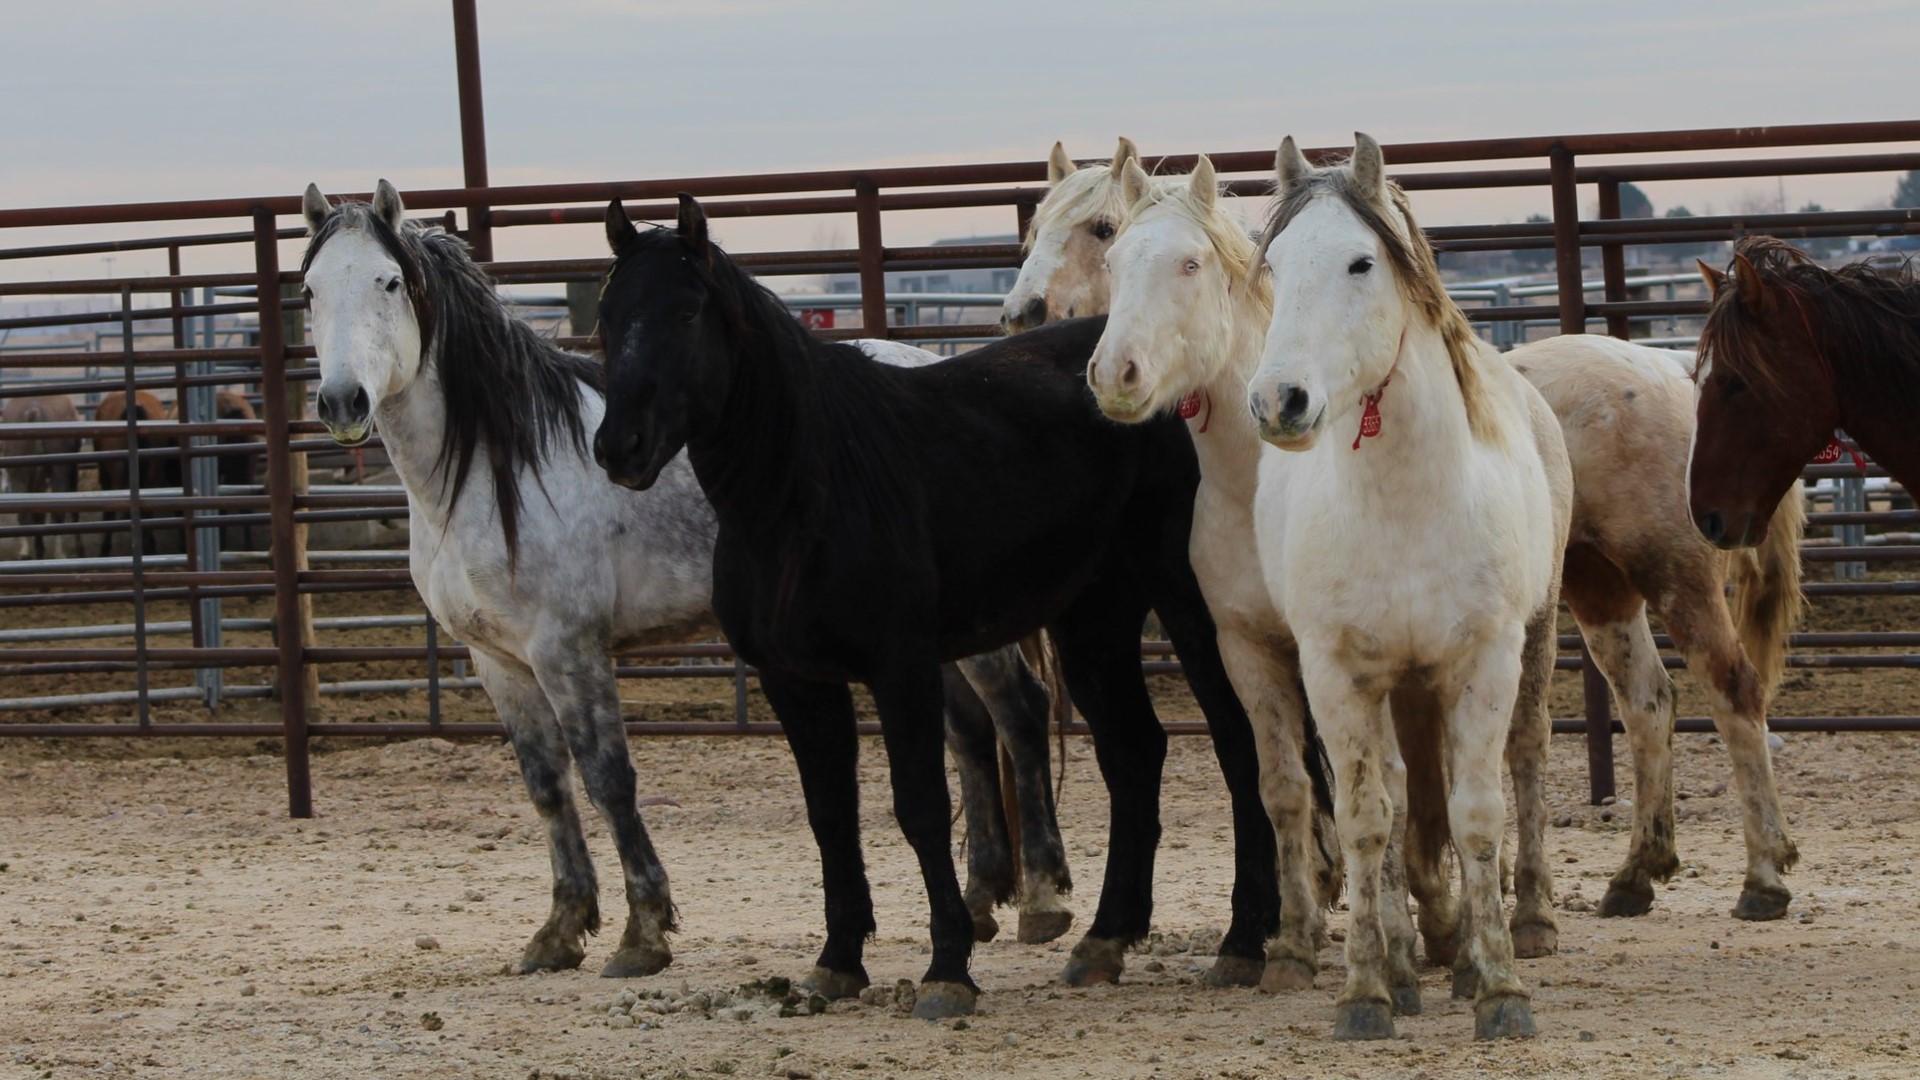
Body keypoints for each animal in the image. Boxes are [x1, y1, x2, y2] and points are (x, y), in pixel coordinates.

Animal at [0, 397, 81, 564]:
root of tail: (34, 410)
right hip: (59, 471)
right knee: (57, 515)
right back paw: (58, 554)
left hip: (20, 473)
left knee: (25, 514)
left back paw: (27, 553)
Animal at [305, 182, 1075, 976]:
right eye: (308, 290)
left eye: (388, 283)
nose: (342, 401)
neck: (496, 470)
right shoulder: (497, 661)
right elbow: (547, 788)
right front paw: (559, 929)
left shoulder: (568, 650)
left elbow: (608, 779)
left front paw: (643, 931)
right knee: (970, 733)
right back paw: (982, 901)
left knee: (1018, 711)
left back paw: (1042, 899)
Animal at [599, 195, 1320, 1014]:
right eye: (608, 312)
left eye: (687, 312)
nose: (620, 446)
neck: (804, 491)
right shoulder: (797, 683)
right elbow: (829, 816)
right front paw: (838, 959)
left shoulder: (900, 670)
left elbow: (918, 807)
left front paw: (947, 967)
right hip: (1093, 620)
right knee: (1135, 752)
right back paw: (1106, 938)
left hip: (1197, 616)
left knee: (1239, 749)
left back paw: (1244, 940)